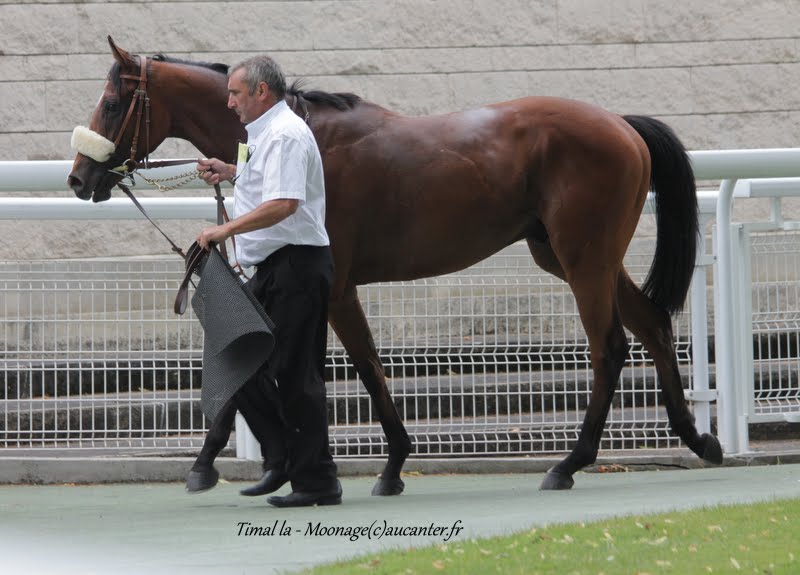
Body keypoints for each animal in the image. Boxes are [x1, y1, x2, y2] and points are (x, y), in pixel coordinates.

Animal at [67, 37, 724, 496]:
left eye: (111, 102)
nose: (79, 179)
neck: (304, 134)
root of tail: (620, 124)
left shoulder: (335, 289)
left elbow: (362, 366)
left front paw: (389, 465)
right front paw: (225, 465)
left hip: (583, 256)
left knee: (610, 345)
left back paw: (570, 463)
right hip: (572, 255)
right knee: (652, 323)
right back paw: (698, 439)